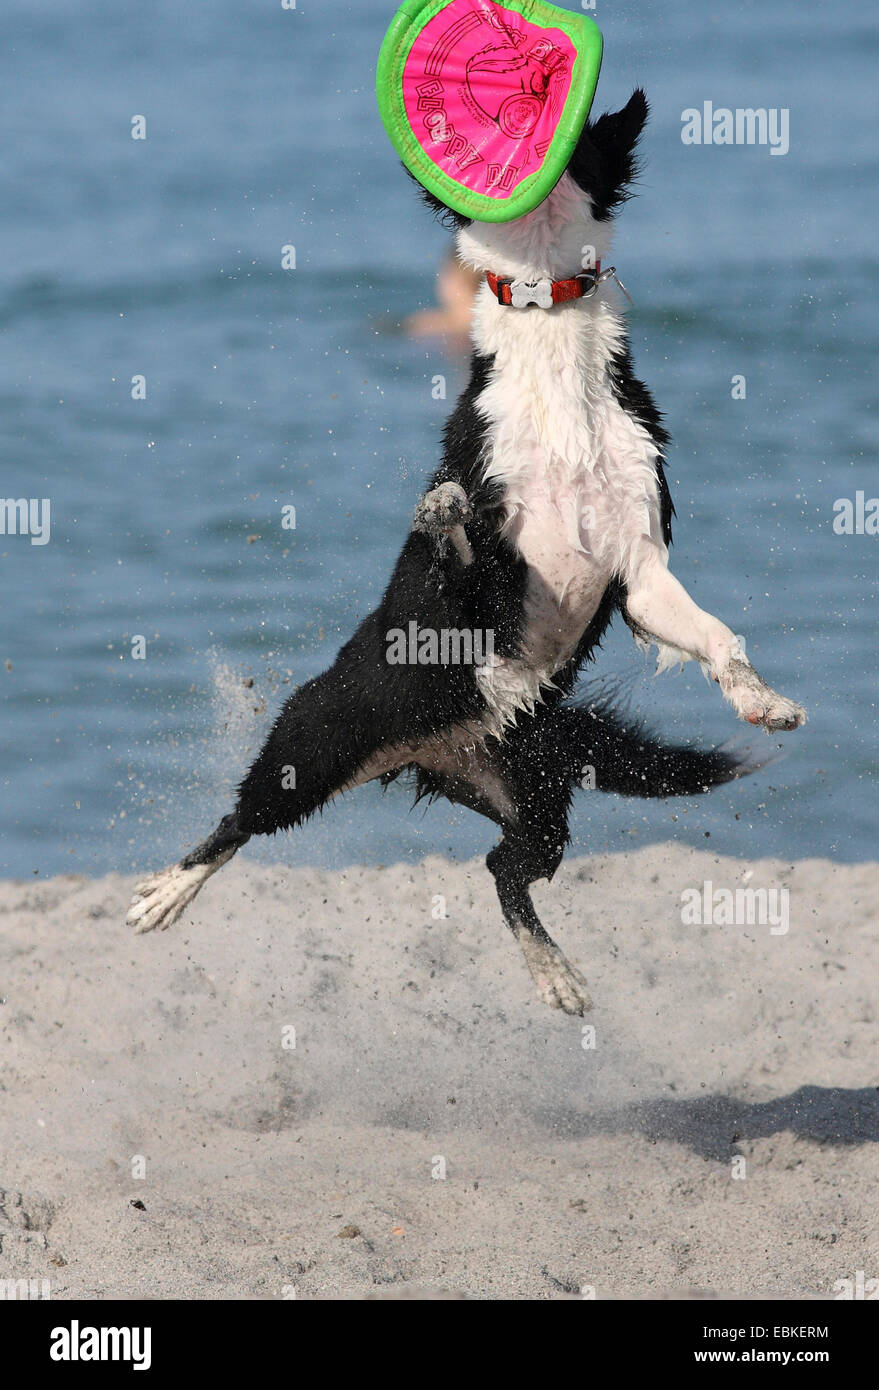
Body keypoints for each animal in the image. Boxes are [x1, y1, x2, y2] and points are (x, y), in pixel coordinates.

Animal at [127, 92, 806, 1017]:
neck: (548, 326)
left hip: (535, 797)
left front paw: (761, 701)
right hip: (317, 738)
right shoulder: (487, 555)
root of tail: (433, 749)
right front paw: (442, 512)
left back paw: (553, 972)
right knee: (242, 820)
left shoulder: (636, 569)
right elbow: (449, 535)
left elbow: (713, 635)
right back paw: (165, 893)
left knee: (503, 870)